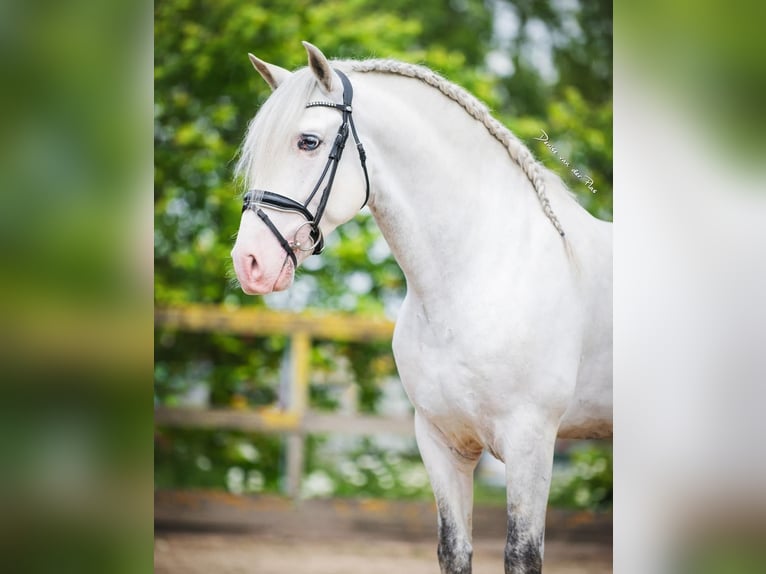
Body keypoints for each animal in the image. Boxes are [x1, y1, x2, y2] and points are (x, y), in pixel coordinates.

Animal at [231, 42, 616, 572]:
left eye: (308, 141)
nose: (248, 263)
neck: (476, 278)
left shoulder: (531, 443)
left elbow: (522, 554)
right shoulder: (440, 443)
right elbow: (453, 550)